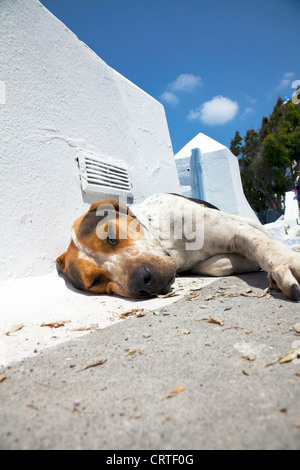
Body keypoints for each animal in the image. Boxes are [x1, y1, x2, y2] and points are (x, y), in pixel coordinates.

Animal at [57, 194, 300, 302]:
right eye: (96, 281)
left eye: (111, 238)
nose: (143, 281)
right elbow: (219, 264)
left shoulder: (236, 229)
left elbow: (263, 244)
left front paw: (286, 264)